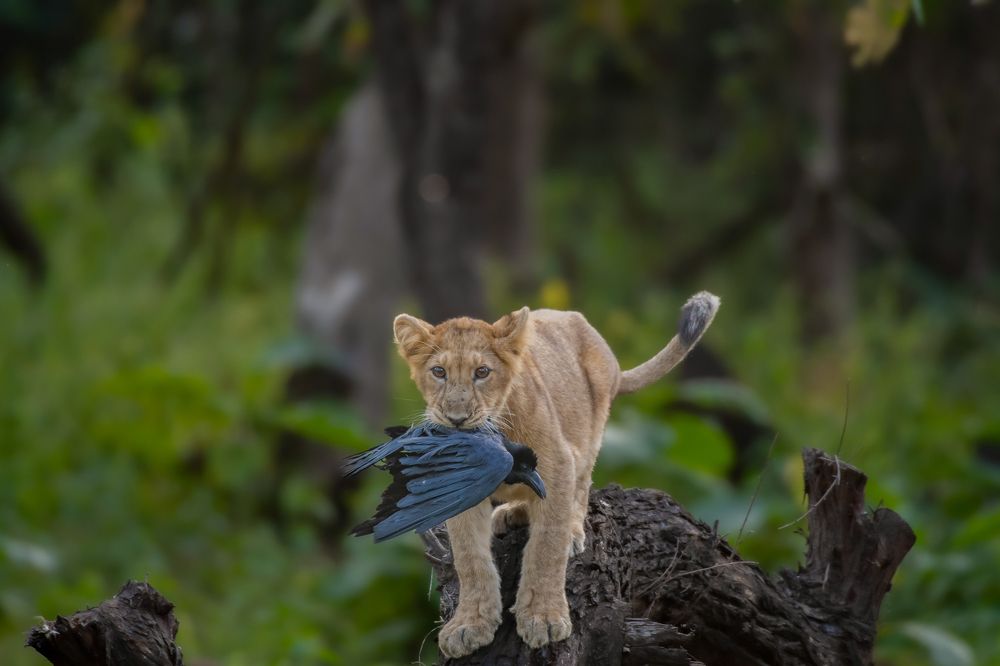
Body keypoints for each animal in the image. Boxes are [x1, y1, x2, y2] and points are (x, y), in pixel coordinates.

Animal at [392, 291, 720, 658]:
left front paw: (543, 618)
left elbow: (547, 546)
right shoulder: (459, 489)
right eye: (439, 372)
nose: (456, 418)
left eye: (482, 372)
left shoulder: (558, 461)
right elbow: (469, 558)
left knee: (581, 486)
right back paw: (512, 513)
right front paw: (469, 625)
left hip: (591, 424)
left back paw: (572, 531)